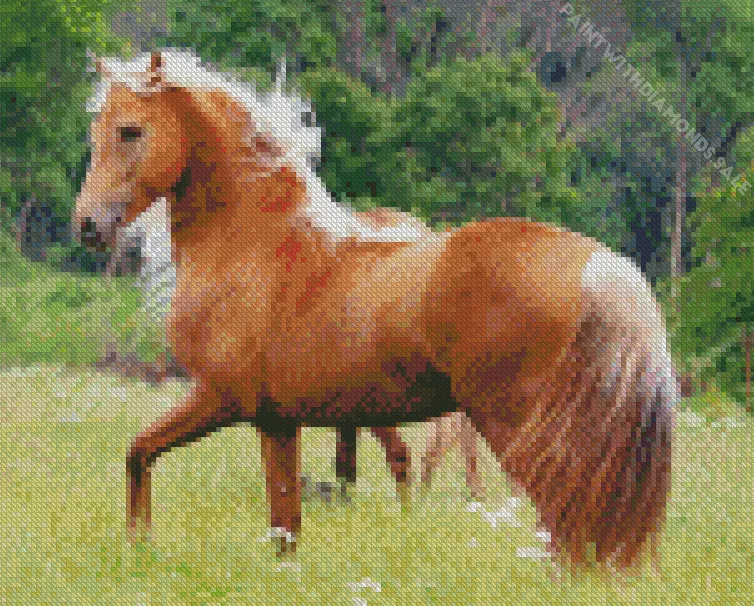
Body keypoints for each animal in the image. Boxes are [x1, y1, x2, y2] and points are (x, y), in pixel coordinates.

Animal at [74, 50, 676, 571]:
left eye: (130, 130)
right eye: (96, 130)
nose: (87, 226)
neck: (254, 247)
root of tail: (599, 265)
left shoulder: (221, 399)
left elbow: (138, 452)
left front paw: (138, 547)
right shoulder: (277, 422)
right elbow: (283, 526)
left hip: (516, 426)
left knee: (557, 519)